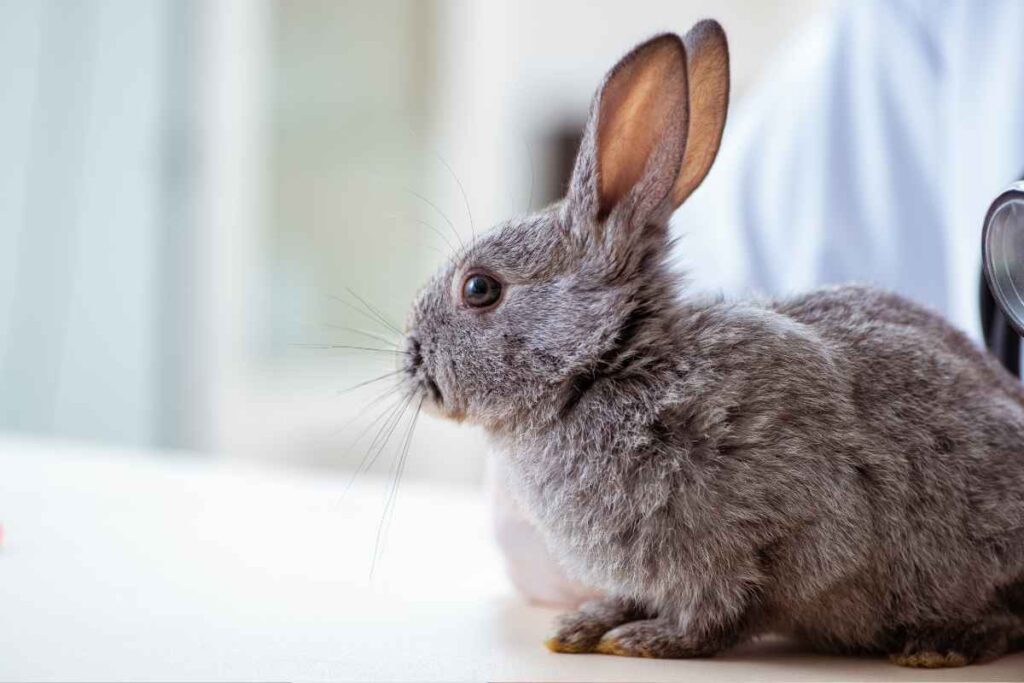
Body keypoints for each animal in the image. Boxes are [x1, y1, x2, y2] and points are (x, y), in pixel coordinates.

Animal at [399, 20, 1024, 667]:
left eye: (479, 288)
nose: (411, 360)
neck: (604, 365)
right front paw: (584, 624)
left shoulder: (763, 534)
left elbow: (724, 609)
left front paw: (649, 640)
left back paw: (939, 645)